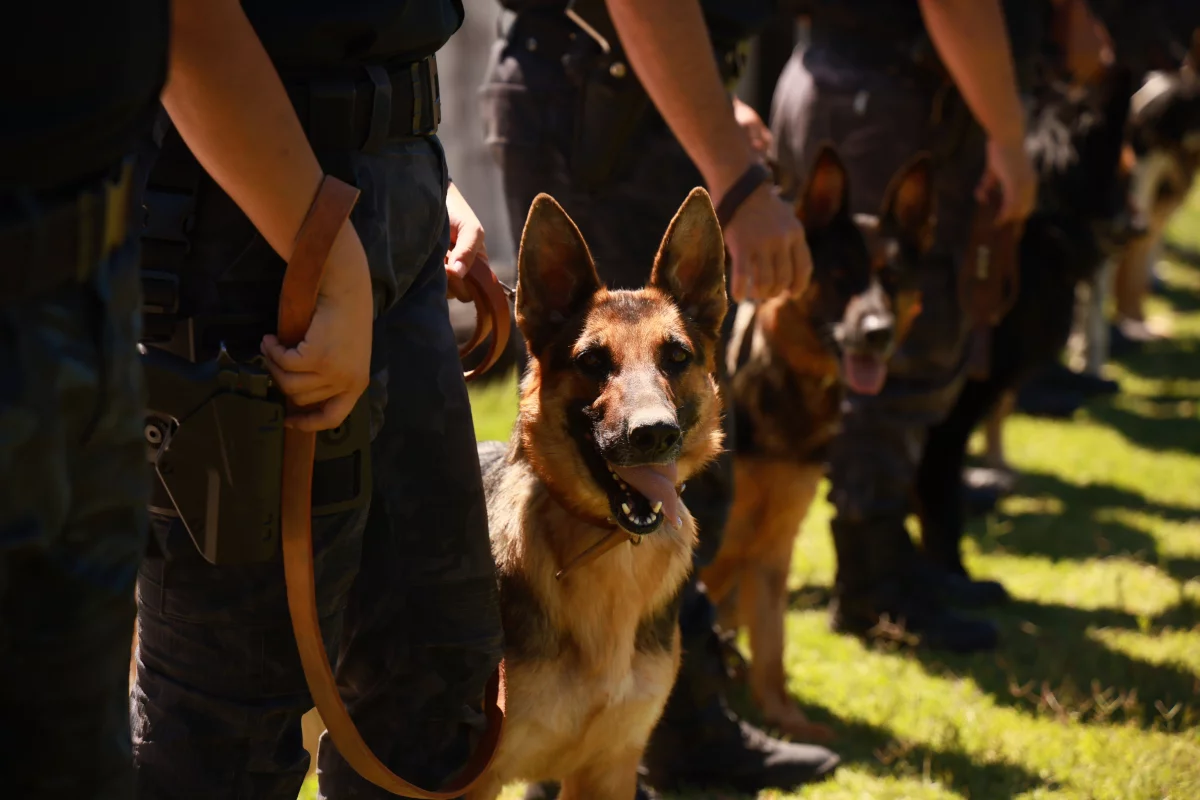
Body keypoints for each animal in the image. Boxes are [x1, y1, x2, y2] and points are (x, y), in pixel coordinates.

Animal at [465, 189, 724, 800]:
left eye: (677, 357)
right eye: (591, 362)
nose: (654, 433)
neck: (611, 554)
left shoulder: (609, 768)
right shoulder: (474, 780)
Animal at [696, 146, 936, 743]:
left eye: (892, 278)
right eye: (841, 275)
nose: (878, 333)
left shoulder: (774, 549)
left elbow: (773, 649)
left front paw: (787, 722)